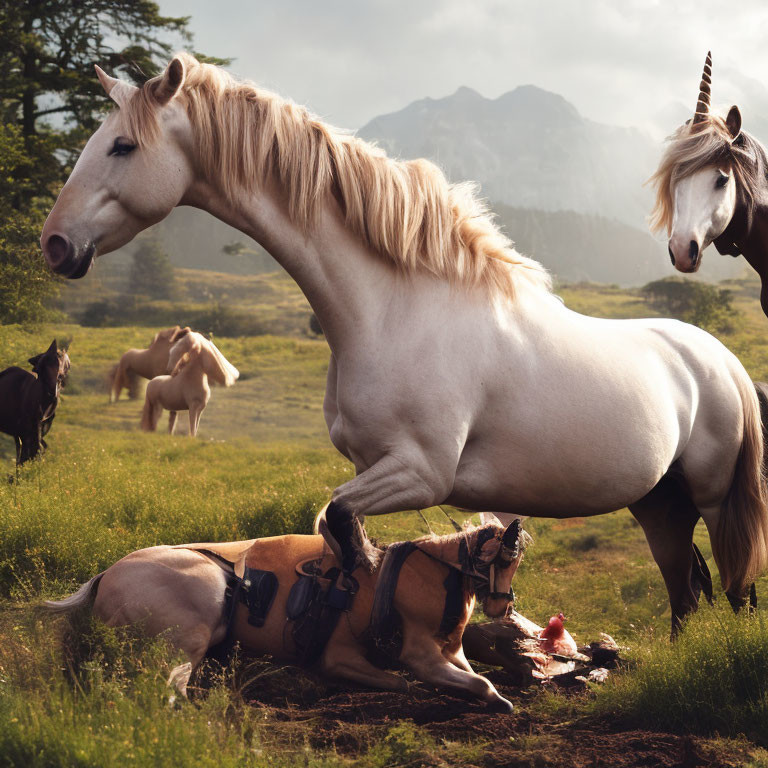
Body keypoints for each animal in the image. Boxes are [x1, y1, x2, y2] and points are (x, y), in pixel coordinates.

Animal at [40, 52, 768, 632]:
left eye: (122, 147)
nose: (54, 243)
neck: (397, 309)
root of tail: (722, 362)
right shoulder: (373, 467)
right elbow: (339, 535)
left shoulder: (420, 473)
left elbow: (338, 521)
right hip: (658, 502)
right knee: (685, 586)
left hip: (711, 496)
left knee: (733, 583)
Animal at [45, 516, 524, 712]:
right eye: (505, 557)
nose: (503, 604)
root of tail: (107, 576)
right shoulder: (407, 656)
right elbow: (418, 681)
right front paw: (498, 702)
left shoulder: (450, 654)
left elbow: (465, 675)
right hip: (186, 638)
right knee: (169, 689)